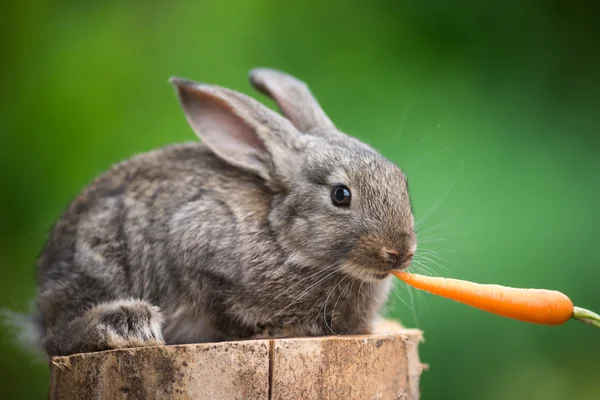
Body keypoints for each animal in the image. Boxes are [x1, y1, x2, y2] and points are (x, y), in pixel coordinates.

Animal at [11, 68, 414, 356]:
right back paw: (126, 324)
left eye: (402, 180)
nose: (400, 253)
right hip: (100, 257)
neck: (284, 240)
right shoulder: (196, 244)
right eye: (340, 195)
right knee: (56, 338)